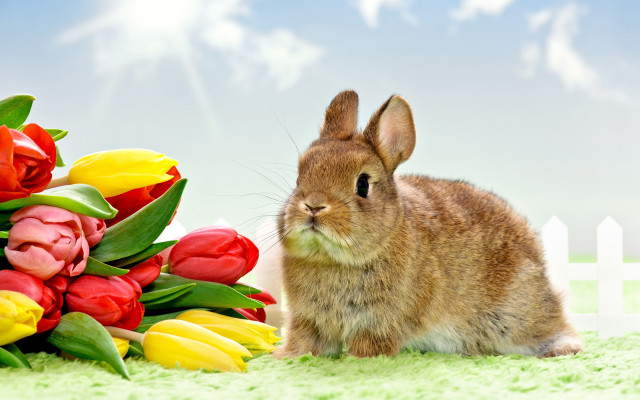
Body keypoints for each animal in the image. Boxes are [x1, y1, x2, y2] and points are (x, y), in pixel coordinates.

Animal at [273, 90, 583, 359]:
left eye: (362, 184)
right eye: (300, 175)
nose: (313, 206)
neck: (334, 259)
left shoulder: (381, 324)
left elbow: (369, 347)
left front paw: (356, 360)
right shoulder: (307, 319)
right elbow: (305, 343)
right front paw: (285, 356)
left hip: (515, 314)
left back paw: (564, 348)